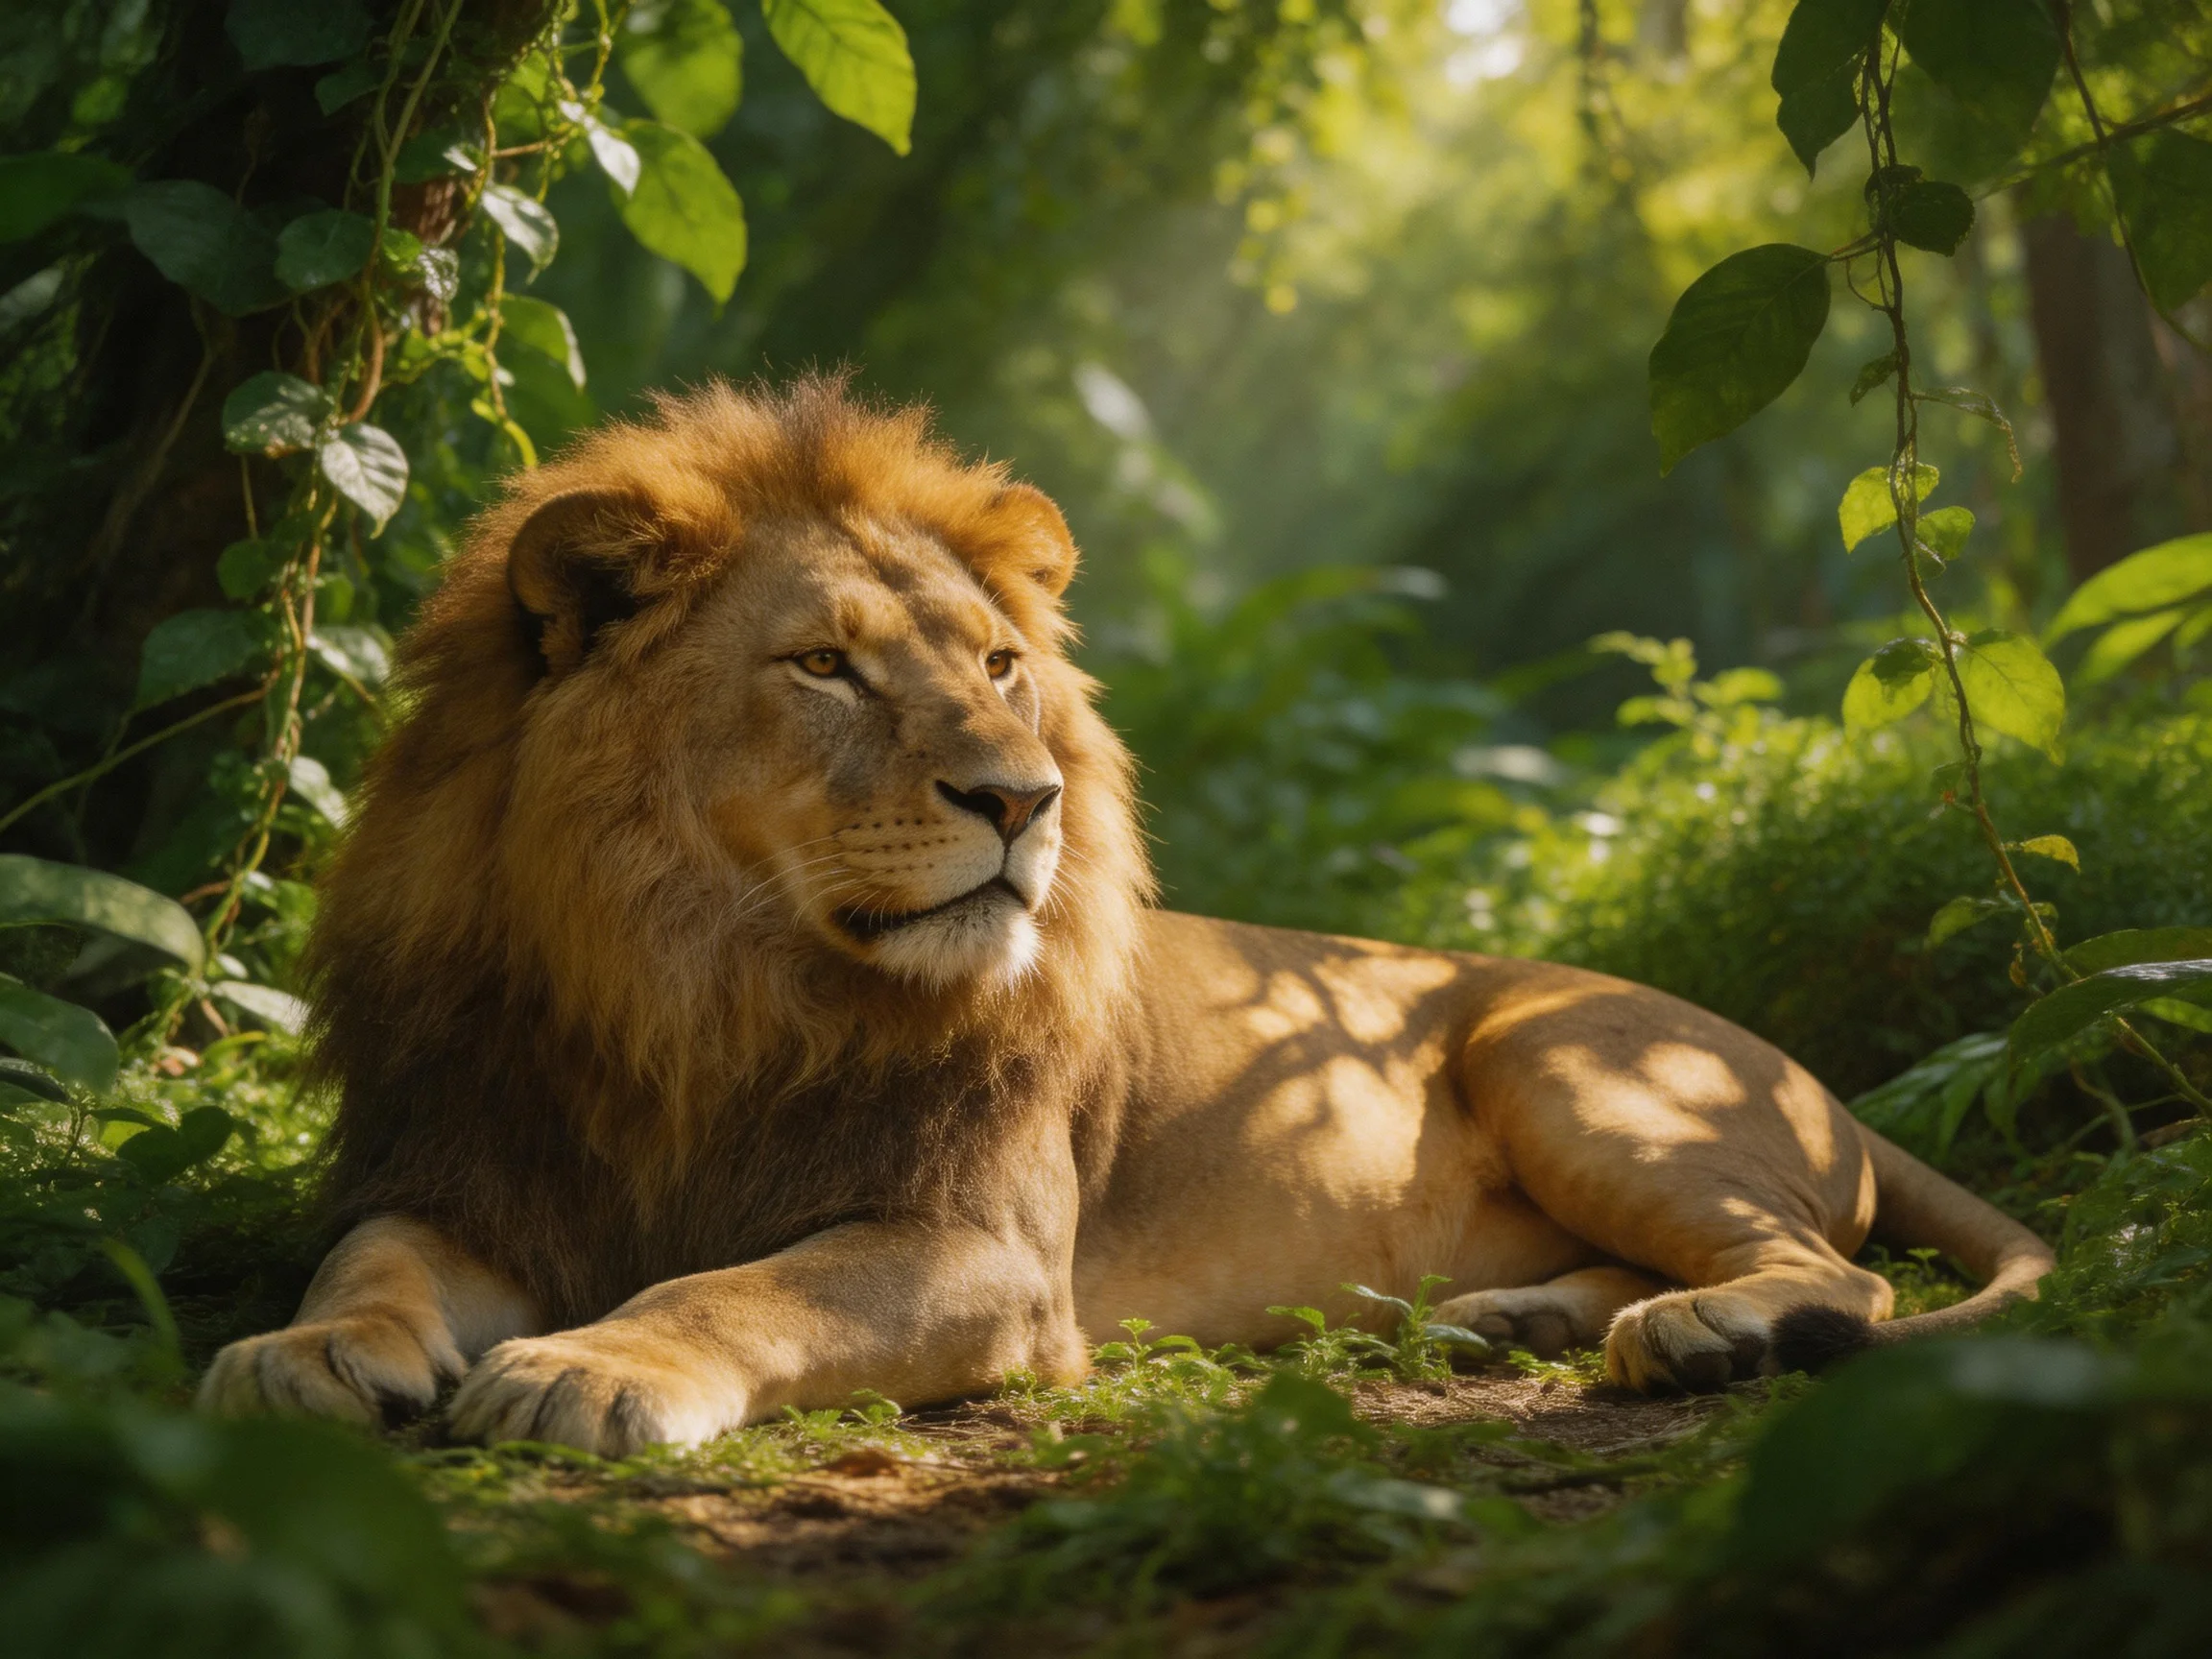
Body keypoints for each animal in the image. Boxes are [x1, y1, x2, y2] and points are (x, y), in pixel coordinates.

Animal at [197, 378, 2053, 1452]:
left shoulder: (988, 1256)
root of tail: (1826, 1088)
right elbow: (368, 1260)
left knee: (1834, 1268)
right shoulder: (474, 1169)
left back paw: (1697, 1332)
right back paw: (1518, 1319)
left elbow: (731, 1290)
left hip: (1565, 1059)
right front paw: (298, 1353)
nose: (1023, 801)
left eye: (1001, 665)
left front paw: (593, 1367)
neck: (702, 984)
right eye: (824, 666)